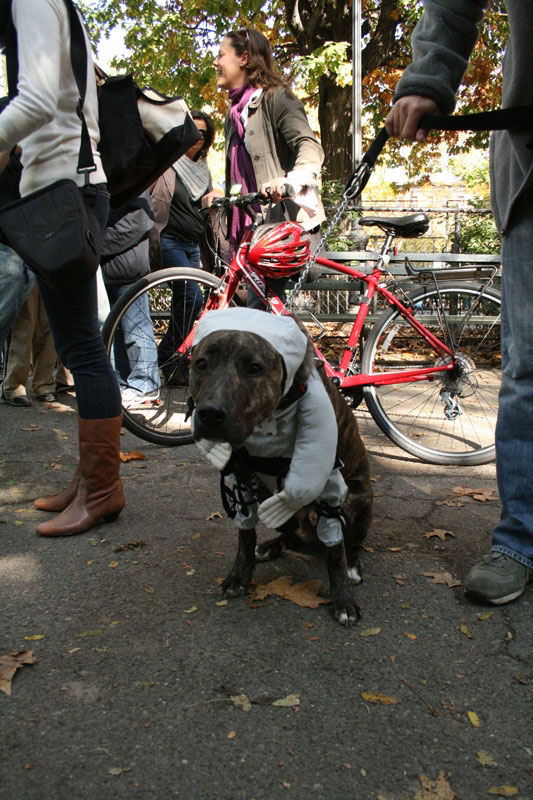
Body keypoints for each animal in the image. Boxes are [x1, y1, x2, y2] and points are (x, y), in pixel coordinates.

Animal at [189, 306, 372, 624]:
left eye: (254, 368)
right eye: (201, 364)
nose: (210, 413)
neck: (269, 421)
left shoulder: (329, 486)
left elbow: (335, 554)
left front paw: (343, 601)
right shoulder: (242, 479)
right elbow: (245, 536)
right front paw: (239, 575)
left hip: (357, 500)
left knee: (351, 543)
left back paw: (353, 567)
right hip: (273, 502)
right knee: (291, 536)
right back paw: (270, 546)